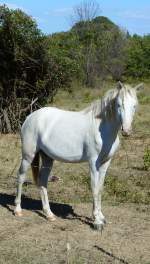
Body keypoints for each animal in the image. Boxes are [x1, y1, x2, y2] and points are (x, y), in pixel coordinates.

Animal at [14, 81, 143, 230]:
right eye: (118, 104)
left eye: (134, 105)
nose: (126, 130)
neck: (102, 128)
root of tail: (30, 117)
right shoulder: (93, 163)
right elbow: (94, 188)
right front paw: (97, 222)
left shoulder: (106, 163)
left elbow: (100, 189)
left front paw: (101, 217)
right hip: (28, 156)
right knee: (21, 176)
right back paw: (17, 210)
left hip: (47, 158)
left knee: (43, 181)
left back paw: (49, 214)